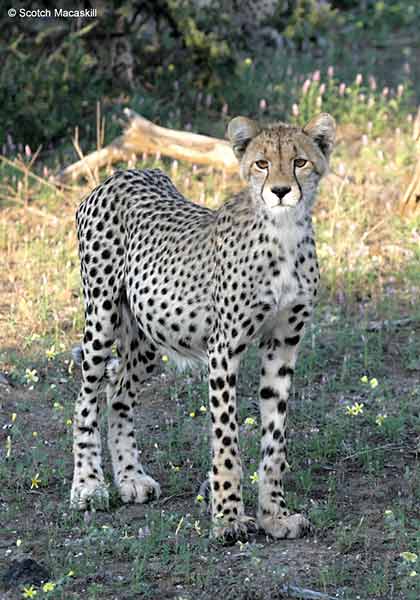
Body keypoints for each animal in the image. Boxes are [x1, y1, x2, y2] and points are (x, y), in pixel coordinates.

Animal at [70, 112, 336, 544]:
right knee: (85, 397)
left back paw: (130, 478)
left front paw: (274, 516)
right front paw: (228, 519)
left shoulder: (283, 345)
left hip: (149, 336)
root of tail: (126, 172)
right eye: (262, 163)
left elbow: (274, 440)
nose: (280, 191)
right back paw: (89, 486)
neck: (284, 231)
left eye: (299, 162)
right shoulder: (224, 348)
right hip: (102, 316)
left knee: (119, 394)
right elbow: (226, 441)